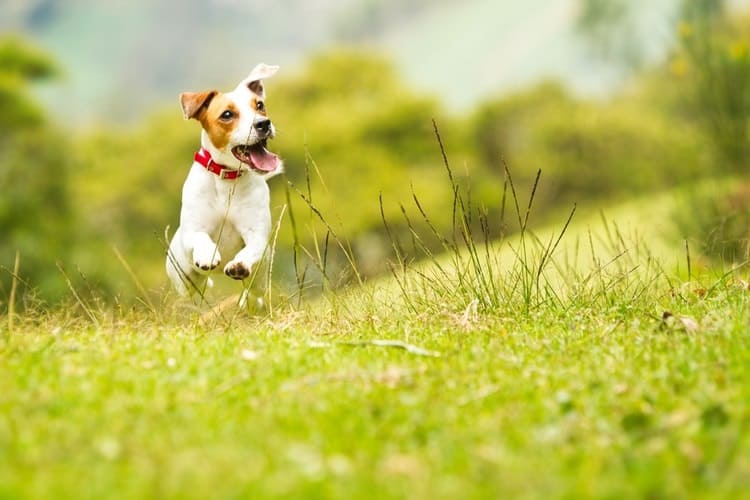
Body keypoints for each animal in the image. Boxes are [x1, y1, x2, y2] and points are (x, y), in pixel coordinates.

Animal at [167, 64, 282, 294]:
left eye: (260, 105)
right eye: (227, 114)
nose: (264, 123)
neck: (227, 179)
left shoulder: (256, 233)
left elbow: (252, 248)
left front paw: (239, 264)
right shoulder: (192, 232)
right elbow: (200, 237)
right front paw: (207, 254)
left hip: (258, 285)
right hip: (184, 283)